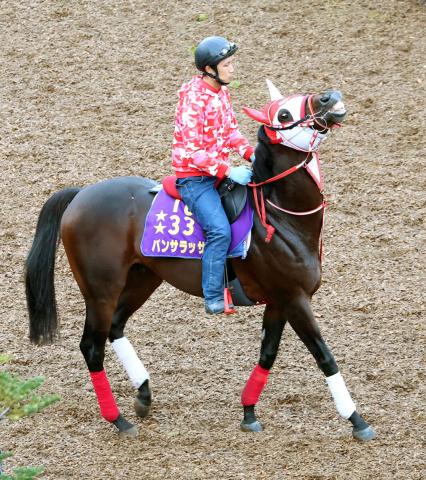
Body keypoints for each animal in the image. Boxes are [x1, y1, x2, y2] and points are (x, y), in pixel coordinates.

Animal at [24, 79, 376, 442]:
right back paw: (118, 420)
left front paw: (249, 412)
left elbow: (268, 354)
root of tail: (79, 195)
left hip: (143, 277)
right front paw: (356, 420)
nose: (330, 97)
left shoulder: (279, 301)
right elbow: (325, 357)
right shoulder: (294, 298)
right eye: (283, 113)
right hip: (100, 291)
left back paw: (143, 394)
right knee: (92, 347)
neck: (280, 217)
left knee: (116, 327)